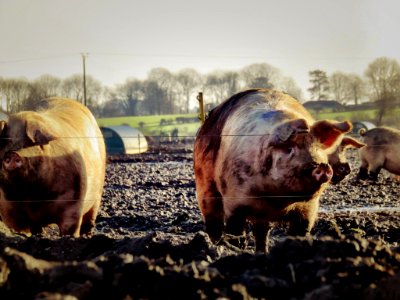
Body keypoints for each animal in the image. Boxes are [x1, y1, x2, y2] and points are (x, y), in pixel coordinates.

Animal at [0, 98, 106, 237]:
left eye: (29, 143)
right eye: (6, 143)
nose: (11, 153)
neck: (32, 196)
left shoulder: (74, 203)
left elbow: (70, 227)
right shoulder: (9, 209)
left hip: (98, 191)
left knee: (91, 216)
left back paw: (87, 234)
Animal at [195, 88, 354, 253]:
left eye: (317, 147)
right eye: (289, 149)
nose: (321, 166)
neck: (277, 200)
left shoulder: (309, 208)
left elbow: (300, 231)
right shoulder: (233, 200)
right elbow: (235, 231)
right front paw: (236, 249)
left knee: (261, 231)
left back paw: (261, 252)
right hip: (204, 183)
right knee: (213, 218)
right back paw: (216, 245)